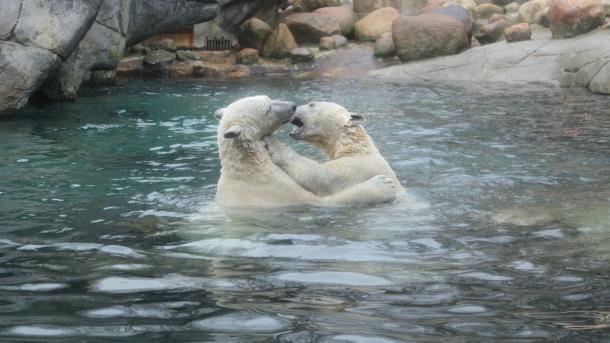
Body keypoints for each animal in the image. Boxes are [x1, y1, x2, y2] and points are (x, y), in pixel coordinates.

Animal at [264, 101, 404, 198]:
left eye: (311, 104)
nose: (294, 106)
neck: (355, 147)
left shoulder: (358, 167)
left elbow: (324, 177)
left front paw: (272, 143)